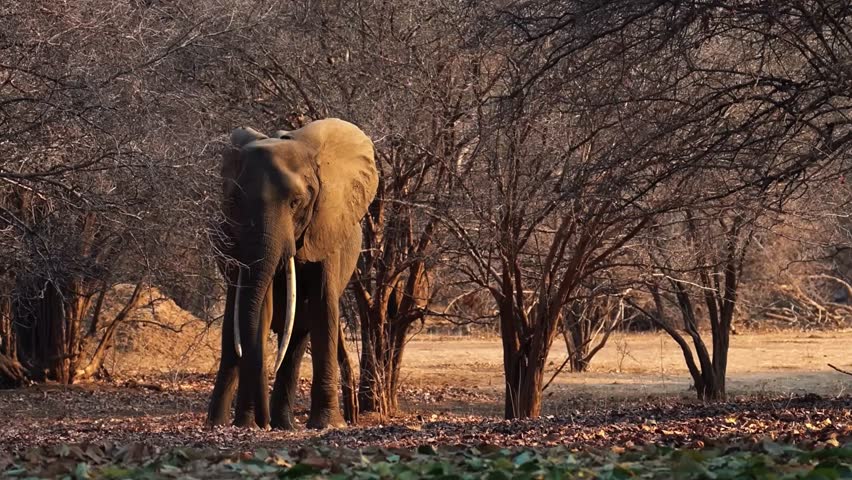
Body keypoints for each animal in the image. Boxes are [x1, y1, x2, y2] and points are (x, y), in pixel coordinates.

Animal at [206, 118, 378, 430]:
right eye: (233, 202)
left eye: (296, 202)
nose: (263, 423)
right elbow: (259, 311)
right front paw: (247, 425)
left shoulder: (325, 226)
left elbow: (323, 308)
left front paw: (327, 425)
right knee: (233, 333)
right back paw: (218, 424)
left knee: (297, 336)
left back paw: (284, 424)